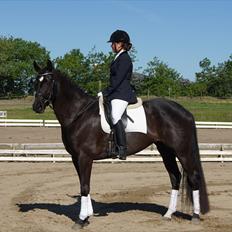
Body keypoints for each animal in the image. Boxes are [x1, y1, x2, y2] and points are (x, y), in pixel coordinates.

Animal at [33, 59, 210, 228]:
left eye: (48, 80)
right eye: (36, 81)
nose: (36, 107)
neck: (78, 113)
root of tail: (185, 112)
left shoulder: (85, 157)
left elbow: (84, 186)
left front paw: (81, 219)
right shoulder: (75, 158)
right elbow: (84, 185)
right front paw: (87, 216)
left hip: (182, 150)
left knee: (193, 177)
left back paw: (195, 216)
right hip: (165, 150)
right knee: (175, 177)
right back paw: (168, 214)